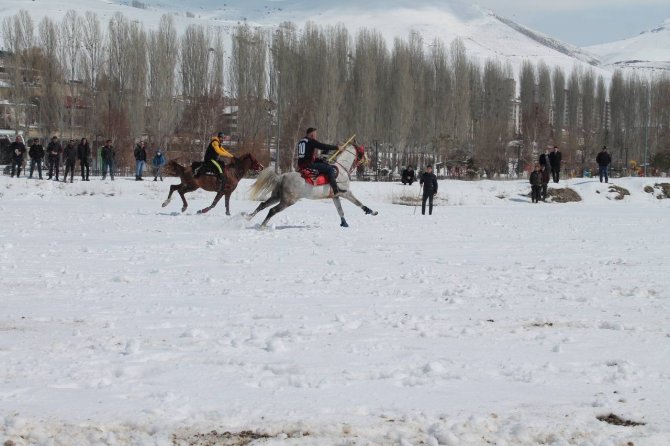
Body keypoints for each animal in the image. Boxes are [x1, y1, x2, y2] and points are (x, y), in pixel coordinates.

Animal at [245, 141, 378, 228]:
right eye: (362, 152)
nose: (368, 160)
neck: (341, 169)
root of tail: (281, 176)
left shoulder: (335, 196)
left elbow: (340, 210)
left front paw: (344, 223)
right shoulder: (346, 193)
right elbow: (358, 203)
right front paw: (371, 211)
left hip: (277, 196)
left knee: (262, 205)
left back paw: (248, 217)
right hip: (288, 201)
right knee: (272, 210)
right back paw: (262, 226)